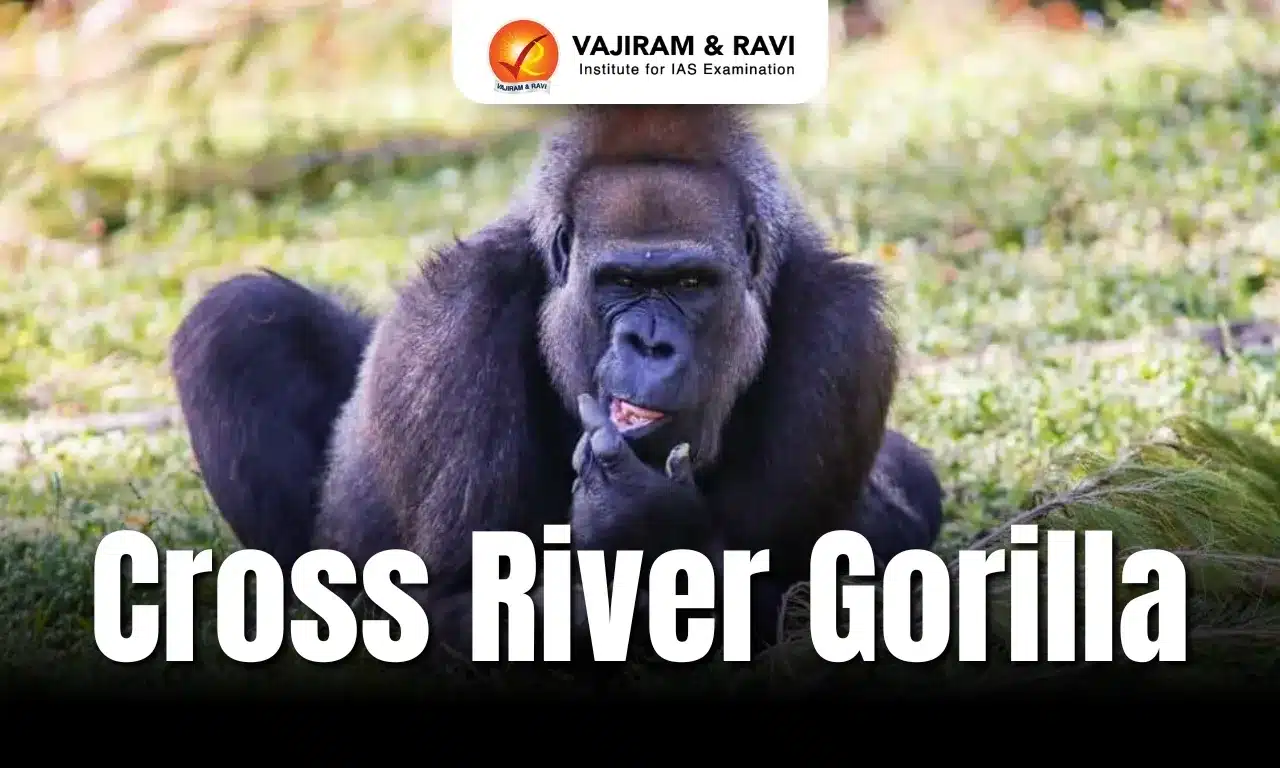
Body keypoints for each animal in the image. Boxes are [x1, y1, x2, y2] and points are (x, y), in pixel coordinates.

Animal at [170, 105, 944, 663]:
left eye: (691, 284)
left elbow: (793, 589)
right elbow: (450, 603)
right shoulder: (458, 315)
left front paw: (652, 527)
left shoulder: (844, 333)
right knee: (238, 321)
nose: (650, 343)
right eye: (621, 282)